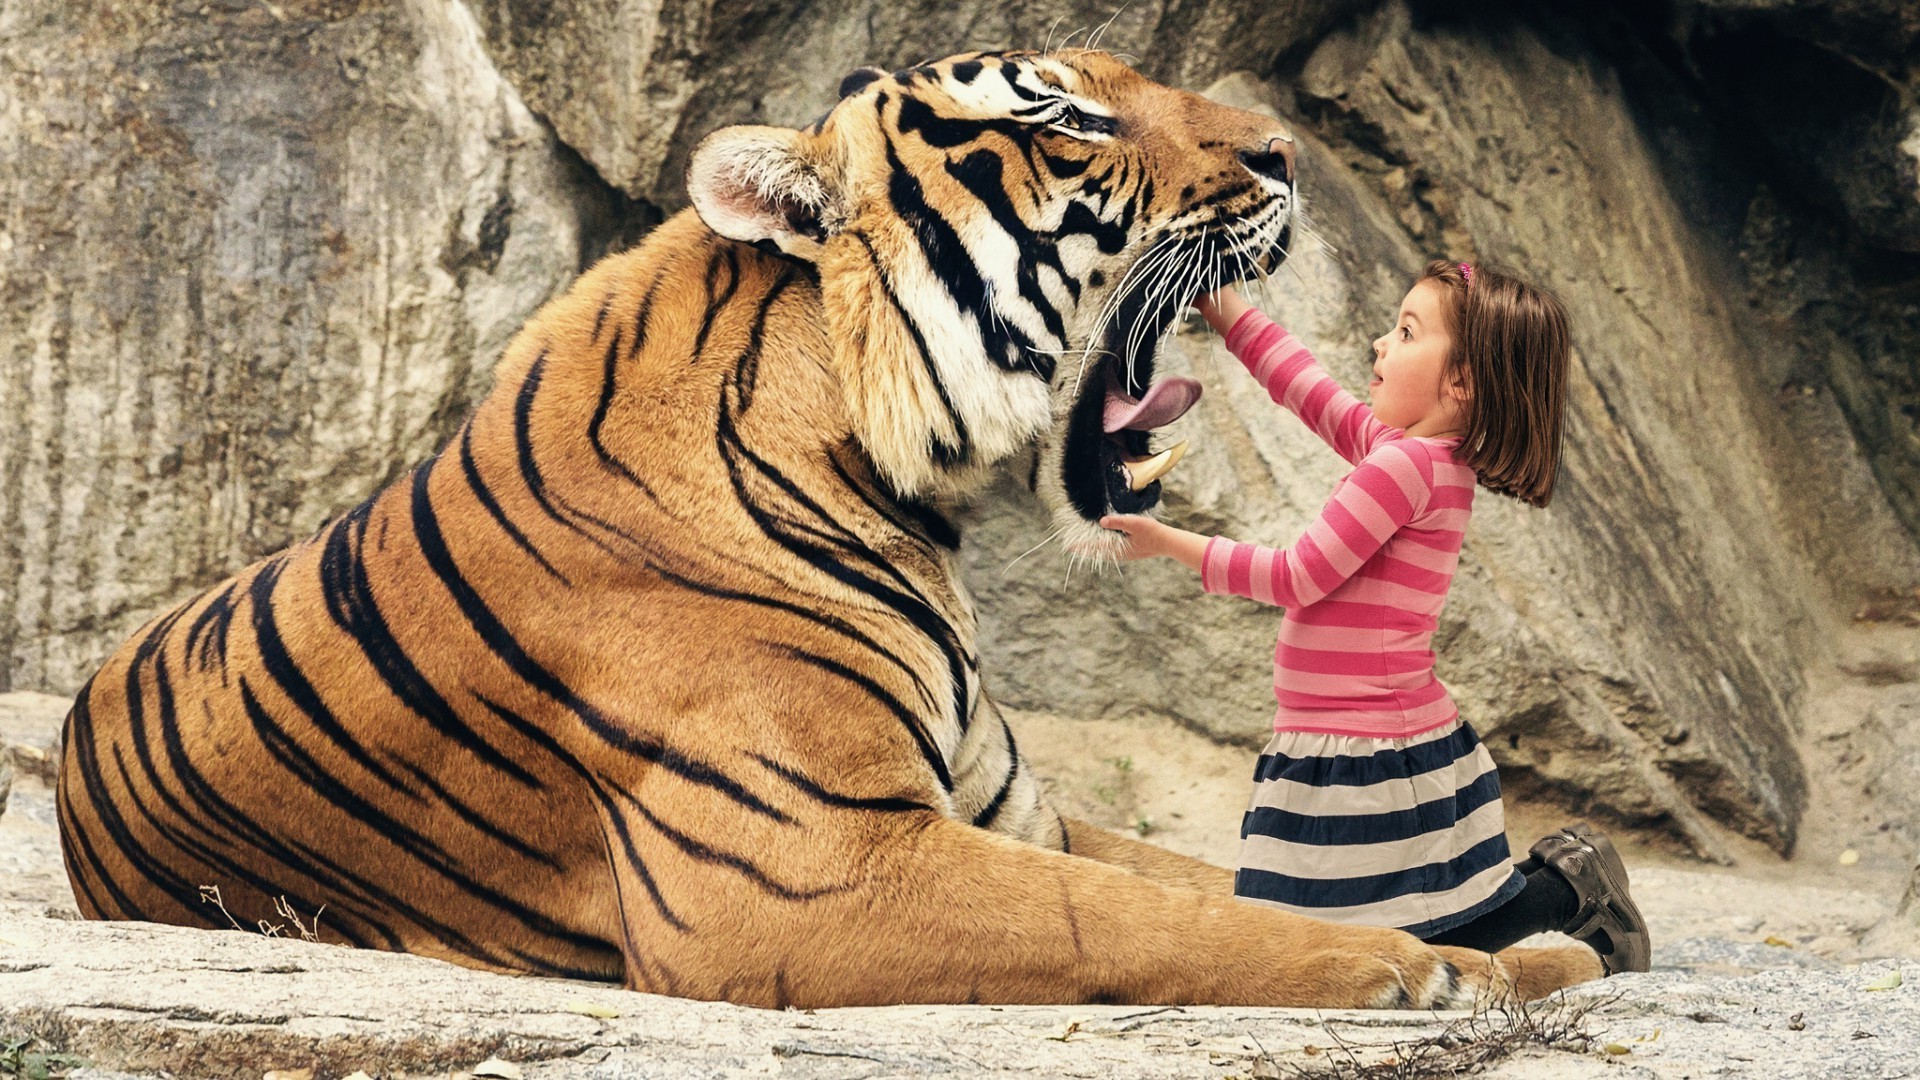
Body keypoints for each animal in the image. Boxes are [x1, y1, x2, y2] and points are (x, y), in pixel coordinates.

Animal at [52, 46, 1597, 1006]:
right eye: (1067, 120)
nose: (1283, 155)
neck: (904, 494)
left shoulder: (1008, 811)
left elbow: (1231, 881)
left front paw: (1542, 952)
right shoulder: (814, 867)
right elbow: (1177, 916)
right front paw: (1445, 968)